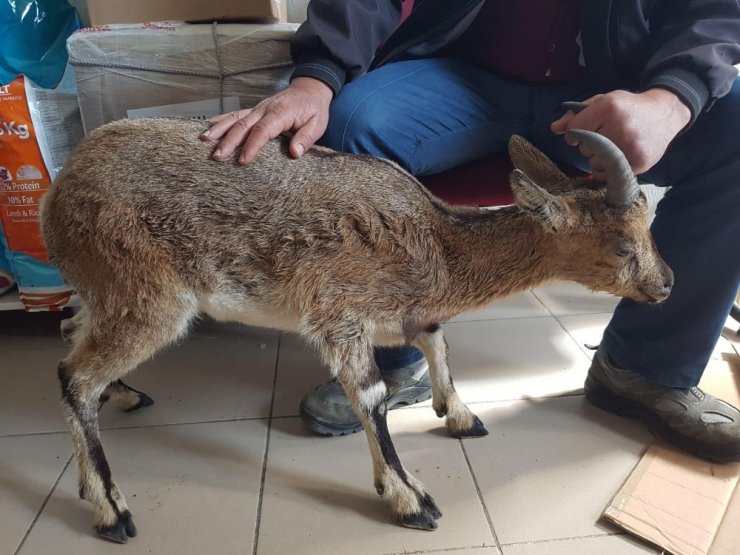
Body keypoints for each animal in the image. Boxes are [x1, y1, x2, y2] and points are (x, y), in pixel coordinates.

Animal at [43, 114, 672, 544]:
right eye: (622, 246)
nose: (666, 284)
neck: (438, 244)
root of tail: (57, 192)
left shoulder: (406, 312)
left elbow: (435, 337)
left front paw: (461, 416)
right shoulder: (337, 312)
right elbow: (370, 395)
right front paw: (411, 500)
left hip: (106, 290)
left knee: (72, 334)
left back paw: (123, 400)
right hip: (147, 294)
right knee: (74, 376)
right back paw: (111, 510)